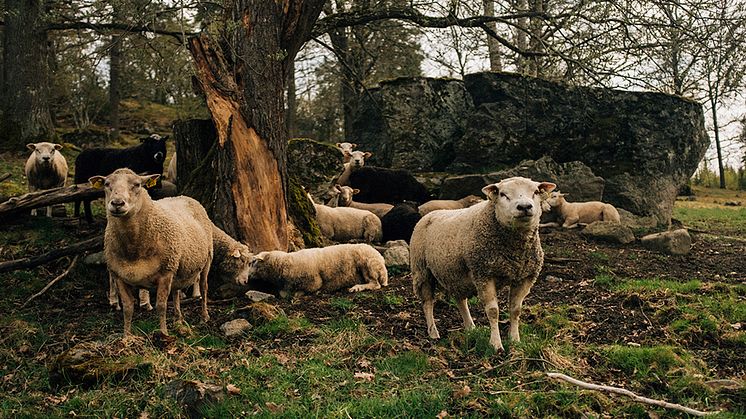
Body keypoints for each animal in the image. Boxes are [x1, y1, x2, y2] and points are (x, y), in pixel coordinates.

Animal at [91, 169, 212, 336]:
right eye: (107, 184)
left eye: (137, 184)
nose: (117, 203)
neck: (133, 249)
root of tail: (184, 196)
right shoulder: (119, 276)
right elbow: (128, 308)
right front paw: (126, 337)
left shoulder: (165, 273)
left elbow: (161, 306)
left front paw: (164, 334)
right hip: (177, 264)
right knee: (176, 292)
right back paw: (178, 320)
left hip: (206, 259)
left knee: (204, 286)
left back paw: (204, 316)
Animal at [241, 243, 386, 296]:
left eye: (252, 262)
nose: (246, 279)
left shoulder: (314, 282)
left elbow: (299, 292)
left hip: (368, 265)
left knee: (375, 284)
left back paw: (357, 287)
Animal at [406, 176, 552, 352]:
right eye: (503, 194)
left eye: (536, 192)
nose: (524, 207)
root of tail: (429, 214)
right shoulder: (483, 274)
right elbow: (493, 311)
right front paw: (496, 345)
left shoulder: (525, 277)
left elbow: (516, 310)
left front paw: (515, 340)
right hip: (422, 270)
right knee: (427, 303)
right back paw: (433, 333)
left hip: (455, 273)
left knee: (460, 300)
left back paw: (470, 328)